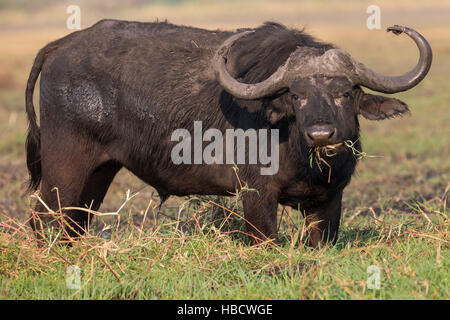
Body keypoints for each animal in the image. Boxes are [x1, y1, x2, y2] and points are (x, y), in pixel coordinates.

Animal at [25, 20, 432, 248]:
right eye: (296, 95)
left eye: (345, 92)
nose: (321, 134)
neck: (304, 158)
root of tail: (61, 45)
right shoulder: (257, 195)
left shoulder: (330, 201)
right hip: (63, 169)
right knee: (43, 221)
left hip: (98, 173)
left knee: (73, 223)